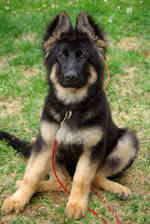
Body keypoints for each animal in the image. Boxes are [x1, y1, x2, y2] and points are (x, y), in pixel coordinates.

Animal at [0, 11, 138, 219]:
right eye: (62, 56)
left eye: (82, 56)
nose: (70, 76)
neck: (71, 107)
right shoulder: (45, 142)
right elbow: (31, 175)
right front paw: (18, 200)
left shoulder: (92, 149)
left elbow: (82, 179)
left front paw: (75, 205)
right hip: (52, 153)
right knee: (62, 182)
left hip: (127, 141)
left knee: (94, 177)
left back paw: (118, 189)